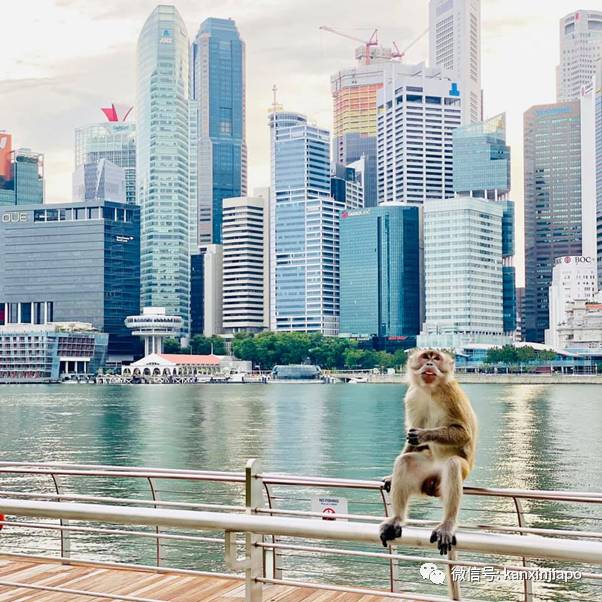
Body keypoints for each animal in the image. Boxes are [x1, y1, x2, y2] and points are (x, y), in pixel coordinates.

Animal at [380, 346, 474, 552]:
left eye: (436, 358)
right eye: (425, 357)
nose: (430, 363)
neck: (431, 390)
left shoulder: (451, 394)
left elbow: (464, 433)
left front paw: (425, 434)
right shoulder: (413, 395)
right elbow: (412, 442)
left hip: (458, 472)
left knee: (453, 465)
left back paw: (447, 524)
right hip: (426, 472)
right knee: (405, 462)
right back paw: (397, 519)